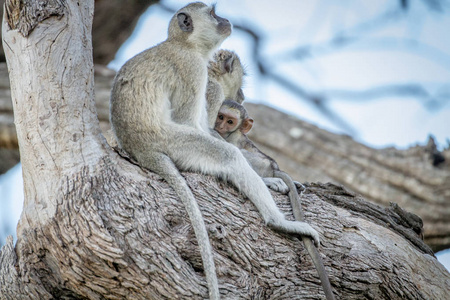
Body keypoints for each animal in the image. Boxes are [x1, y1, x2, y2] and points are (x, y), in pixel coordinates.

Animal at [109, 2, 320, 300]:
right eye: (213, 13)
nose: (227, 19)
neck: (184, 44)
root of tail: (140, 148)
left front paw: (270, 179)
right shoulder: (197, 75)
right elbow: (191, 120)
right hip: (174, 142)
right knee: (225, 155)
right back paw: (278, 222)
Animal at [216, 101, 336, 300]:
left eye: (230, 121)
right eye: (220, 116)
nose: (220, 125)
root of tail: (274, 167)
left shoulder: (233, 138)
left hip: (258, 161)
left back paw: (268, 181)